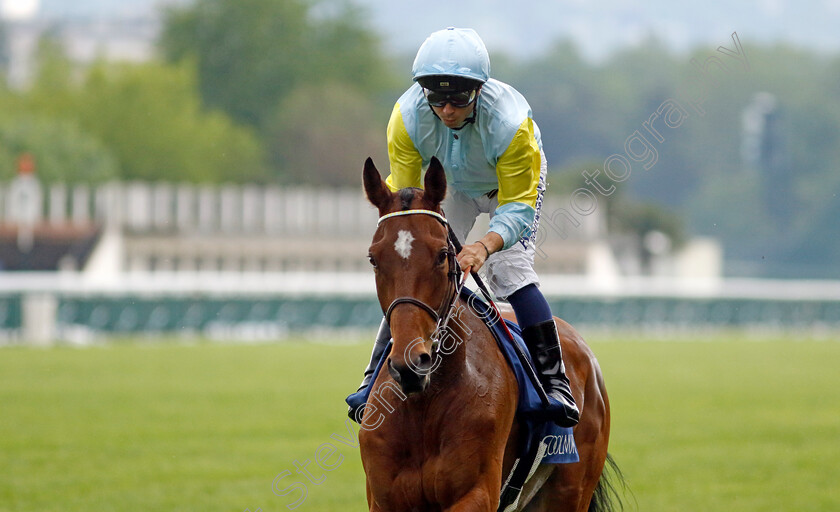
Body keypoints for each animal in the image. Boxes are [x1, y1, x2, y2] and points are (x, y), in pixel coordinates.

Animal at [358, 157, 620, 512]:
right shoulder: (383, 497)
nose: (410, 364)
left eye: (442, 254)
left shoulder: (477, 492)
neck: (422, 407)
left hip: (571, 488)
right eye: (374, 258)